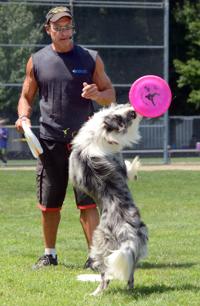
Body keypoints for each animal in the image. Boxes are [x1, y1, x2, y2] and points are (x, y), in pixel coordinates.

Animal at [69, 104, 148, 296]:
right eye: (128, 116)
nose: (135, 110)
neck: (102, 132)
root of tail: (126, 229)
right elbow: (127, 168)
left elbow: (127, 167)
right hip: (133, 248)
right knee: (129, 274)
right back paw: (127, 290)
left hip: (100, 248)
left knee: (106, 276)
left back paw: (96, 293)